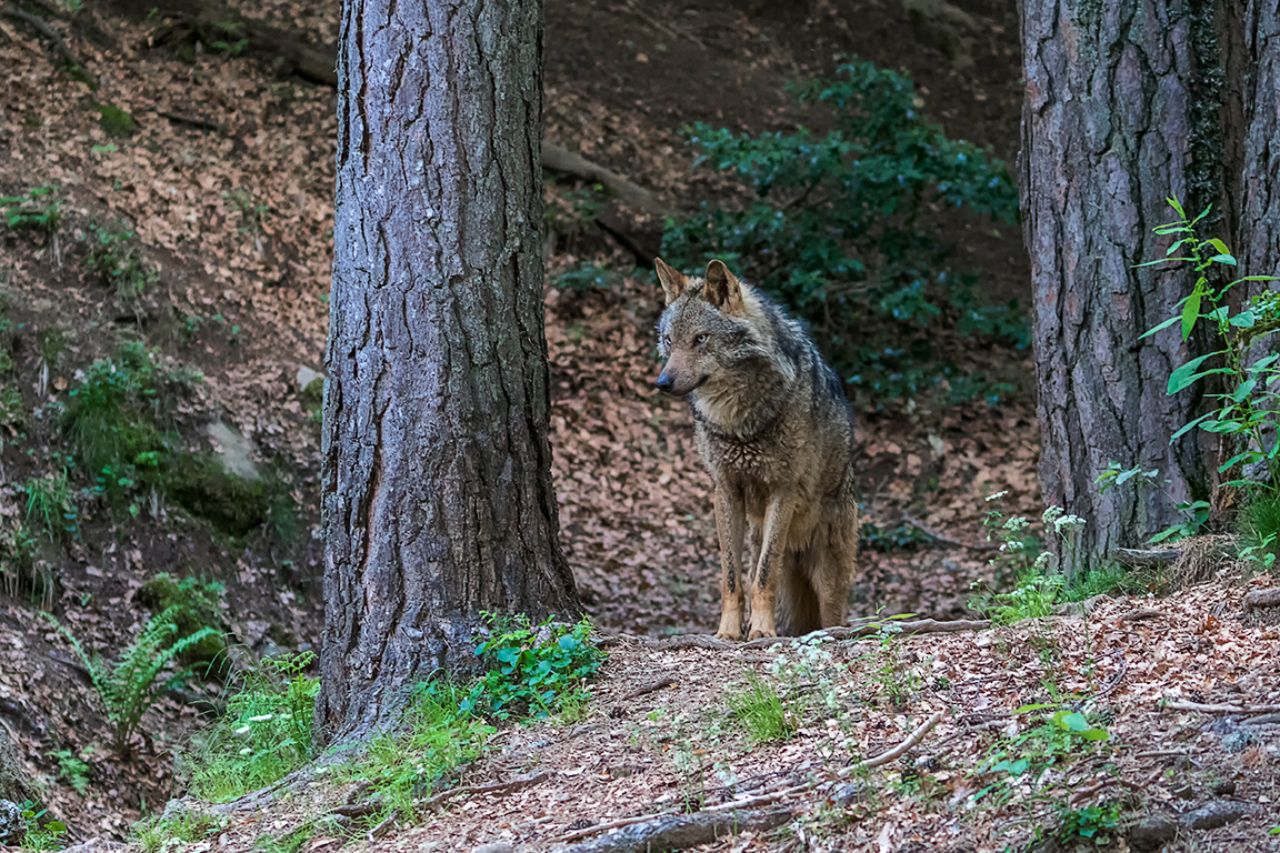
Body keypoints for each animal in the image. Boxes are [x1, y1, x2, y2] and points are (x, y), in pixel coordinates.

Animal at [653, 257, 859, 640]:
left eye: (701, 339)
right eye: (670, 341)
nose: (662, 382)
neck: (738, 420)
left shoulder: (783, 490)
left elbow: (764, 575)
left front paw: (762, 630)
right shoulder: (725, 491)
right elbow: (733, 578)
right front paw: (728, 632)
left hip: (828, 578)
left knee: (834, 615)